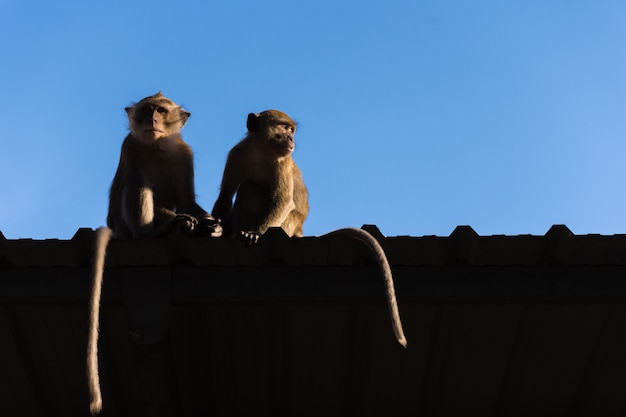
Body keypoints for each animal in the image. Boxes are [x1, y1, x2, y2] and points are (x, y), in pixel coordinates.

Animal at [88, 92, 222, 414]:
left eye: (161, 110)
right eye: (148, 111)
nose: (152, 120)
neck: (158, 146)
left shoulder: (184, 154)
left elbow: (186, 200)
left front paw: (212, 225)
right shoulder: (130, 146)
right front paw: (189, 223)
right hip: (123, 222)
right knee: (137, 177)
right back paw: (153, 232)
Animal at [210, 110, 404, 348]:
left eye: (291, 129)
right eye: (284, 127)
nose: (291, 139)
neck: (261, 152)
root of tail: (298, 228)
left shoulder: (281, 163)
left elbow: (284, 201)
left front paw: (256, 233)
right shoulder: (237, 154)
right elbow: (225, 195)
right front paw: (216, 229)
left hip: (286, 224)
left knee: (249, 190)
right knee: (246, 189)